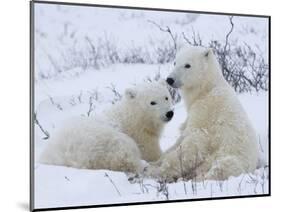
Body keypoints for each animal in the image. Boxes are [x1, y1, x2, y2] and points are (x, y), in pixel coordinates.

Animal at [39, 82, 173, 173]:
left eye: (166, 97)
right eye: (152, 102)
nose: (169, 113)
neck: (132, 117)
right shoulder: (140, 136)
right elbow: (151, 153)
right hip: (104, 142)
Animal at [147, 46, 258, 181]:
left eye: (187, 65)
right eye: (175, 62)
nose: (170, 79)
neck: (206, 89)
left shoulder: (205, 112)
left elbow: (194, 140)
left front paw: (156, 170)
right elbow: (181, 137)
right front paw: (154, 162)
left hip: (230, 157)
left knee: (220, 168)